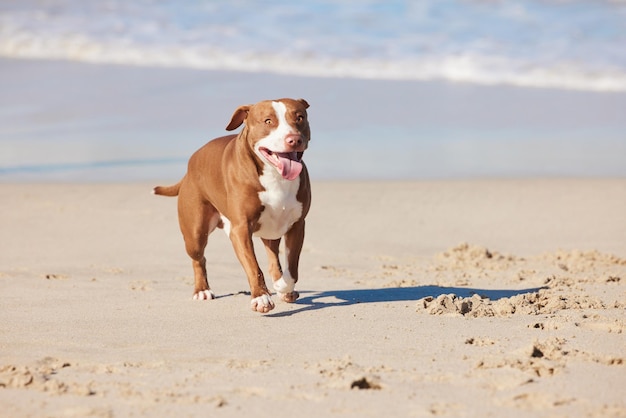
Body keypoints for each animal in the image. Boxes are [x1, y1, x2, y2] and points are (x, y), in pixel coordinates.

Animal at [154, 99, 310, 314]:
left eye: (300, 117)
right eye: (268, 121)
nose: (293, 139)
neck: (274, 176)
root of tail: (189, 167)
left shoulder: (297, 225)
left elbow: (292, 267)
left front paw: (283, 287)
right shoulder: (241, 229)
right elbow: (253, 266)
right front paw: (261, 297)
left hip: (271, 231)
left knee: (273, 259)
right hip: (195, 233)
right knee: (199, 258)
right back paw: (202, 290)